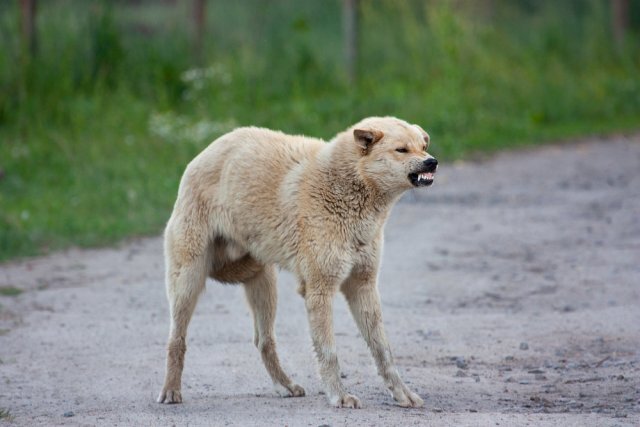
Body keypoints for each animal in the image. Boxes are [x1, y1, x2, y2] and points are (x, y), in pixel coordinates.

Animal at [158, 115, 438, 410]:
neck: (345, 188)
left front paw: (402, 394)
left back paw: (285, 385)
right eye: (402, 150)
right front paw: (339, 396)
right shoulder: (320, 290)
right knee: (176, 340)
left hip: (264, 284)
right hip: (188, 283)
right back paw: (171, 391)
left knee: (263, 341)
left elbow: (383, 351)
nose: (432, 162)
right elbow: (329, 353)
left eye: (423, 146)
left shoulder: (363, 286)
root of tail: (202, 155)